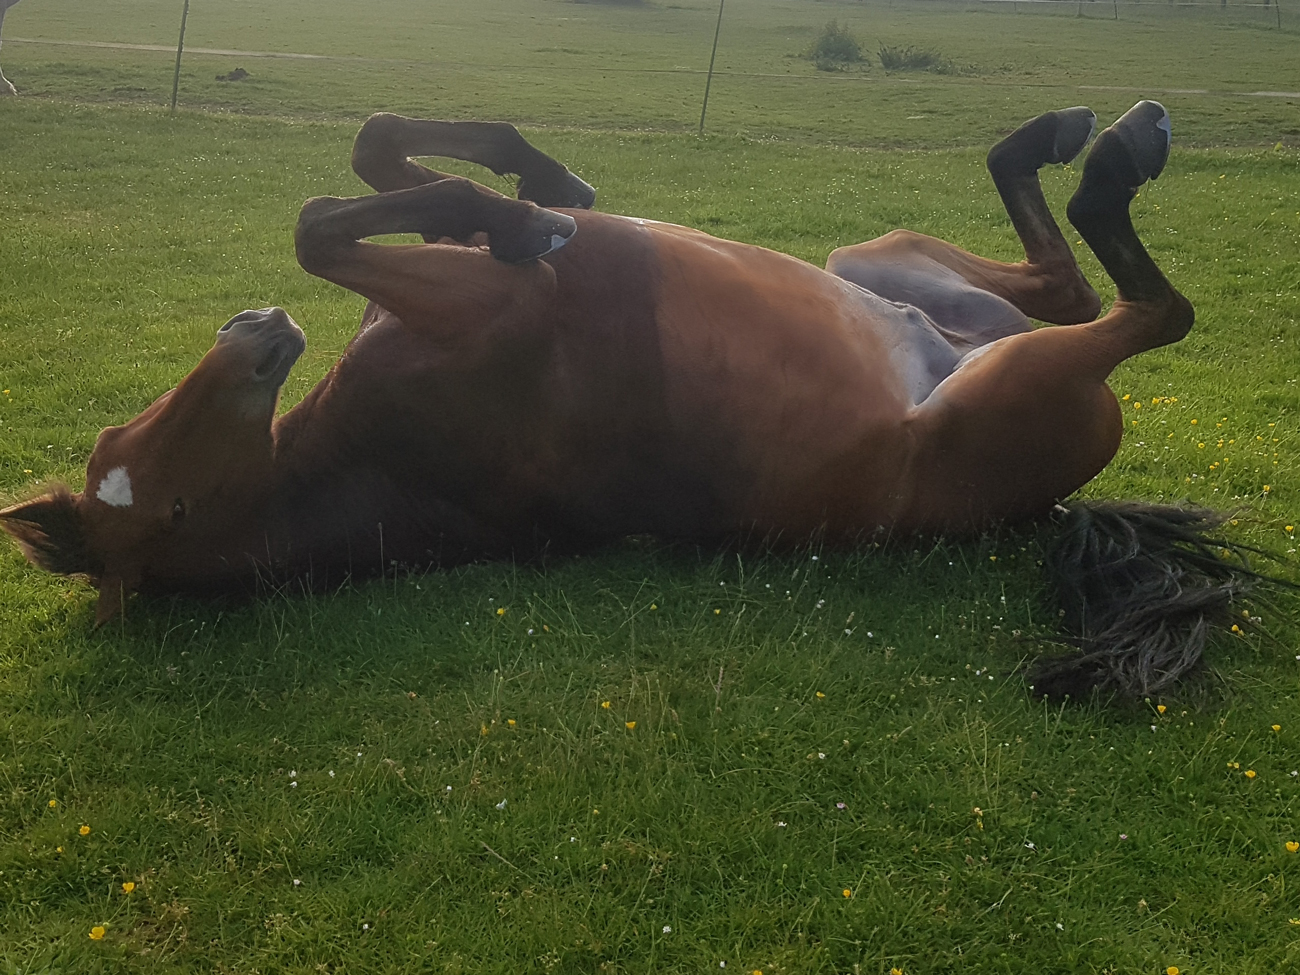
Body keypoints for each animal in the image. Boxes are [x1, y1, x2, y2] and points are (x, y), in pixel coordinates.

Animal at [2, 103, 1196, 665]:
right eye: (174, 507)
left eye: (118, 443)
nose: (258, 335)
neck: (380, 455)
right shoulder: (488, 301)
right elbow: (320, 224)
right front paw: (531, 212)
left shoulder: (443, 266)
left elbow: (376, 155)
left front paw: (542, 180)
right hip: (1012, 380)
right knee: (1145, 311)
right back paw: (1112, 156)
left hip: (881, 260)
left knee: (1064, 281)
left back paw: (1050, 136)